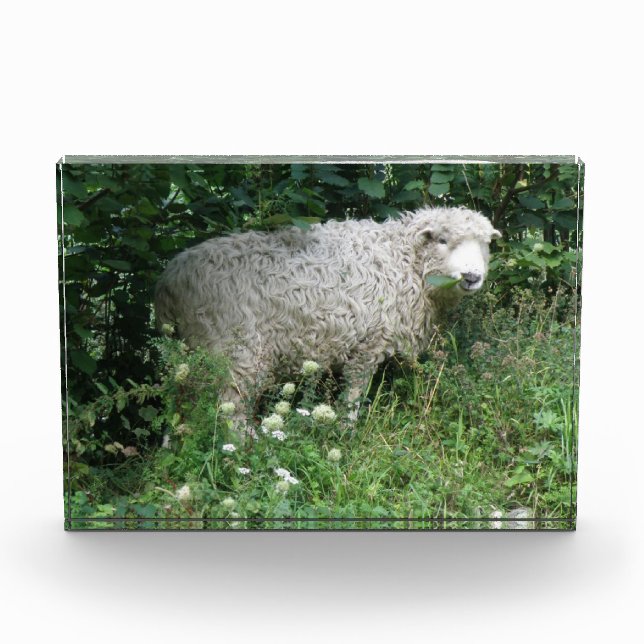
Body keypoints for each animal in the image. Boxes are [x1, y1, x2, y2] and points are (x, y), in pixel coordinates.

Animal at [155, 206, 501, 426]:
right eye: (442, 240)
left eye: (485, 244)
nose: (472, 277)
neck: (401, 260)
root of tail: (170, 281)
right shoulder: (368, 344)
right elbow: (353, 396)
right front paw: (346, 433)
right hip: (236, 350)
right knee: (230, 409)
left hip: (187, 354)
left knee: (178, 405)